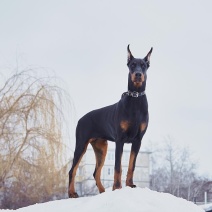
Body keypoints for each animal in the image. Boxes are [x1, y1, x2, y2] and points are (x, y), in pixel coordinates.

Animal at [68, 44, 153, 197]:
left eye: (143, 65)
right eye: (132, 65)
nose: (138, 74)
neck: (136, 98)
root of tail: (81, 119)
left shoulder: (138, 140)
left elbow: (131, 165)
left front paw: (130, 185)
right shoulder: (120, 139)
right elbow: (117, 166)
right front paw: (117, 187)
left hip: (101, 147)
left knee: (96, 172)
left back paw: (102, 192)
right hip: (81, 144)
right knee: (72, 170)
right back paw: (72, 193)